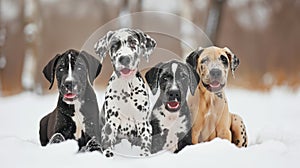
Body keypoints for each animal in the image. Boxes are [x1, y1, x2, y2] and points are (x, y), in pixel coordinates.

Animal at [94, 27, 157, 158]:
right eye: (114, 45)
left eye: (133, 42)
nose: (124, 58)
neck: (126, 86)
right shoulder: (111, 122)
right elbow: (108, 140)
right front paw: (108, 153)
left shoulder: (143, 123)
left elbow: (145, 141)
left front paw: (145, 154)